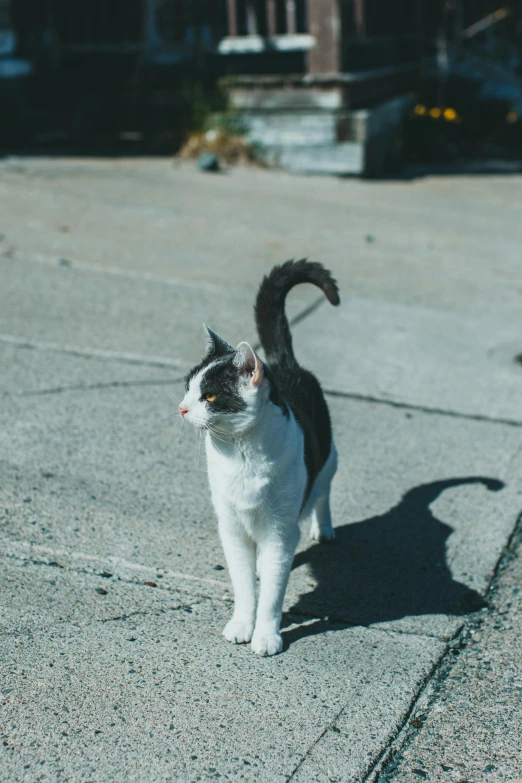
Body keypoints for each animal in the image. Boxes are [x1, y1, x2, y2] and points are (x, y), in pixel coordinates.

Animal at [179, 262, 340, 656]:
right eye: (188, 387)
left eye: (209, 396)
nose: (181, 408)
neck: (238, 454)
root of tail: (284, 363)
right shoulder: (231, 527)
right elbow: (244, 588)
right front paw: (241, 624)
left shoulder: (280, 532)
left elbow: (272, 593)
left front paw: (266, 635)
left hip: (329, 458)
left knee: (324, 490)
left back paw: (324, 527)